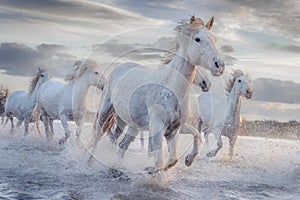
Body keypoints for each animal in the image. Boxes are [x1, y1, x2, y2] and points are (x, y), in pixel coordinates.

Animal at [90, 15, 224, 173]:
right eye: (197, 39)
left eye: (215, 39)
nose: (219, 66)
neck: (172, 88)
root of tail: (120, 67)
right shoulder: (157, 128)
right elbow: (159, 160)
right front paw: (152, 170)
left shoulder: (174, 130)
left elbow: (174, 158)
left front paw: (187, 160)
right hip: (105, 110)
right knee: (98, 135)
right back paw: (89, 161)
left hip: (131, 125)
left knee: (121, 145)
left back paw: (119, 167)